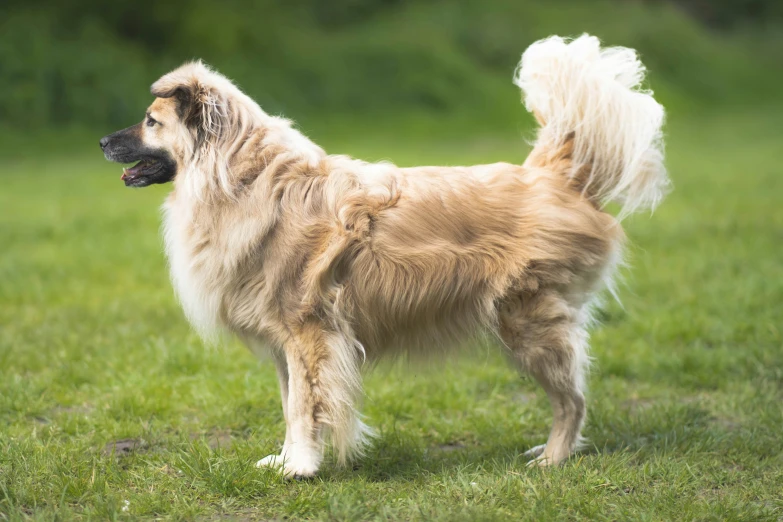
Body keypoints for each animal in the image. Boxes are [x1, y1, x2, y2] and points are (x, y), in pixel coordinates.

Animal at [101, 34, 668, 478]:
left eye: (150, 122)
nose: (103, 141)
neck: (248, 179)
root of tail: (553, 176)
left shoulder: (309, 334)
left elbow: (305, 407)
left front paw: (302, 467)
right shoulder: (286, 344)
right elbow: (289, 406)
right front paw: (285, 459)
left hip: (528, 324)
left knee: (573, 399)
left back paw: (553, 458)